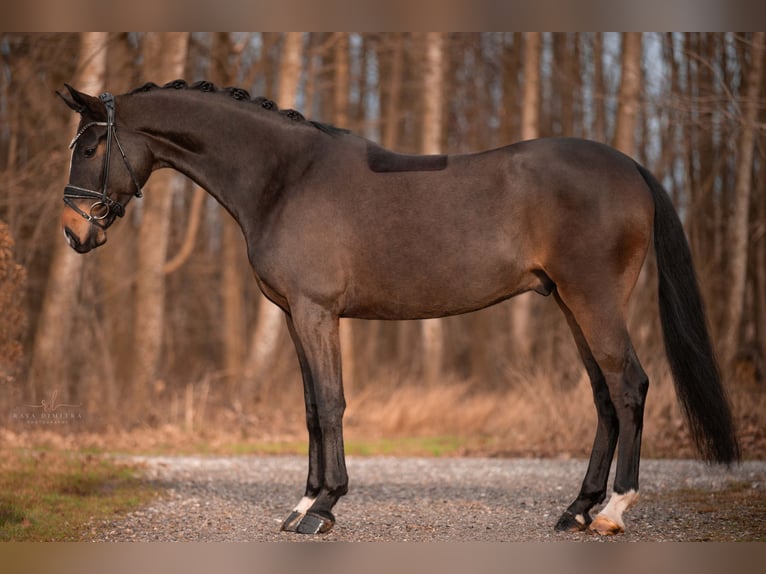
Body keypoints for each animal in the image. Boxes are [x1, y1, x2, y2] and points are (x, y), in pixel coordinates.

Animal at [57, 79, 740, 536]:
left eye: (89, 147)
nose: (73, 231)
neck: (285, 177)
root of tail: (631, 166)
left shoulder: (315, 312)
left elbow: (330, 404)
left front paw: (323, 507)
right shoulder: (295, 316)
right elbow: (311, 408)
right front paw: (303, 504)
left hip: (594, 301)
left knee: (629, 386)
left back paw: (613, 511)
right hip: (571, 304)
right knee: (603, 396)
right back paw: (576, 509)